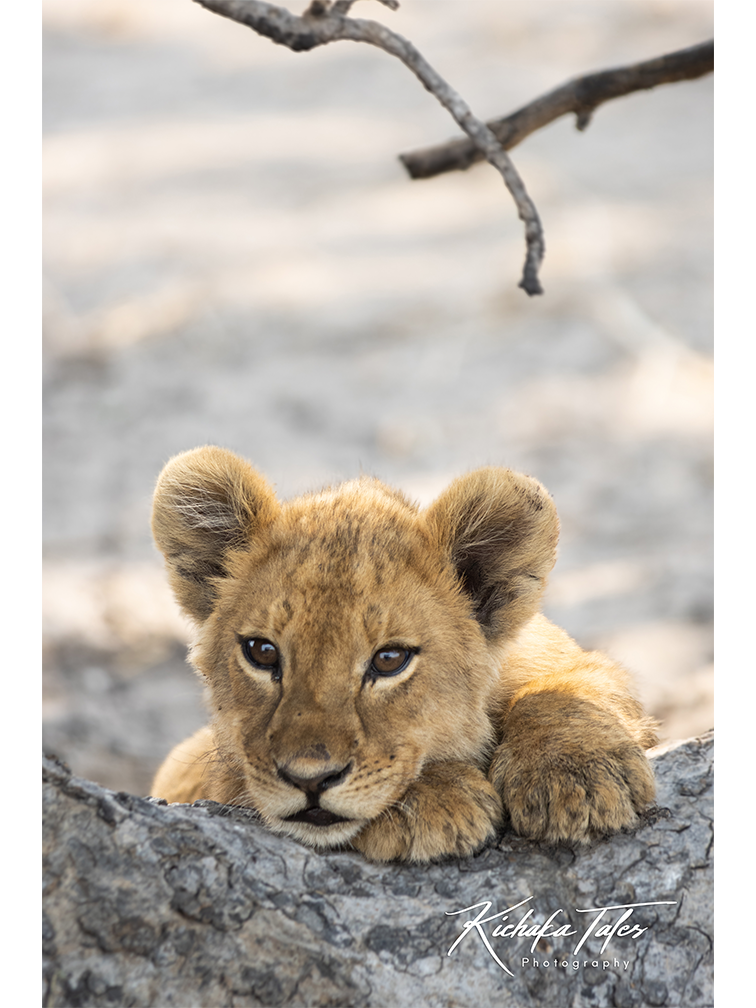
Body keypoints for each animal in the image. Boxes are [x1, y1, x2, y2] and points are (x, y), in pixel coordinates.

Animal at [150, 446, 657, 863]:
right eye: (261, 652)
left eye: (389, 660)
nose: (310, 779)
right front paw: (433, 799)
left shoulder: (564, 657)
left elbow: (561, 692)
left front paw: (578, 777)